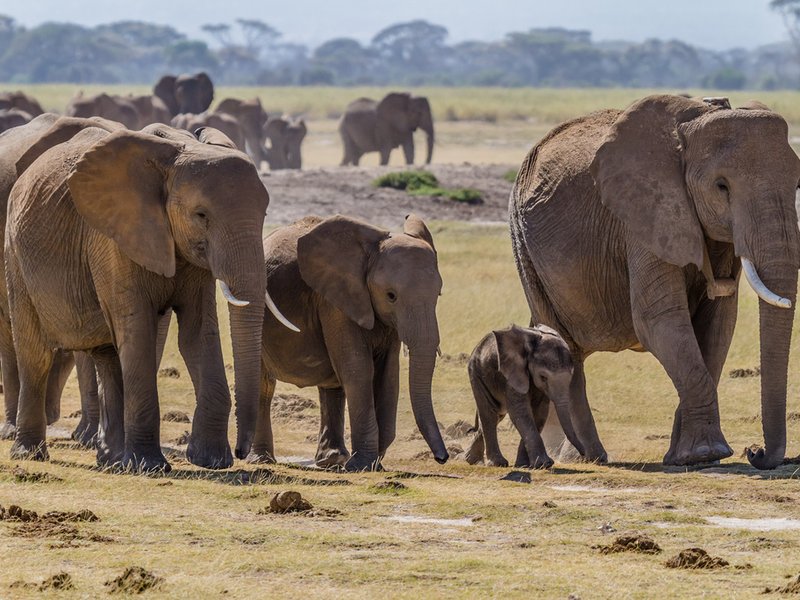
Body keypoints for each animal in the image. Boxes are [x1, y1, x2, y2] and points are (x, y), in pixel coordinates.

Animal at [5, 122, 293, 472]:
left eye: (265, 214)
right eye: (201, 215)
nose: (241, 452)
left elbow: (198, 334)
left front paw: (211, 460)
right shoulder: (113, 239)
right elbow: (138, 328)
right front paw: (149, 466)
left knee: (108, 354)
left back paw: (112, 460)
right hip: (15, 255)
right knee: (35, 352)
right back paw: (30, 453)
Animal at [248, 214, 449, 471]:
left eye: (438, 294)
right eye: (391, 296)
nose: (442, 458)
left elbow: (388, 375)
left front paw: (371, 464)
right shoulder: (335, 300)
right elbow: (358, 369)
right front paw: (362, 465)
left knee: (332, 384)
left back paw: (332, 461)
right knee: (264, 383)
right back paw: (263, 459)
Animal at [463, 324, 585, 469]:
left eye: (571, 375)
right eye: (543, 377)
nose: (583, 454)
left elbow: (539, 413)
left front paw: (524, 465)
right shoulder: (512, 373)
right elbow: (520, 411)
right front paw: (545, 464)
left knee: (497, 415)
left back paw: (471, 460)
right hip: (477, 372)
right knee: (490, 414)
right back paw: (497, 463)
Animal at [509, 94, 800, 469]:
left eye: (797, 185)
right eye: (721, 187)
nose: (756, 452)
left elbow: (719, 324)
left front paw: (687, 457)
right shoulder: (642, 215)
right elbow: (659, 320)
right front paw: (706, 454)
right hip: (523, 241)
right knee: (564, 344)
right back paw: (591, 457)